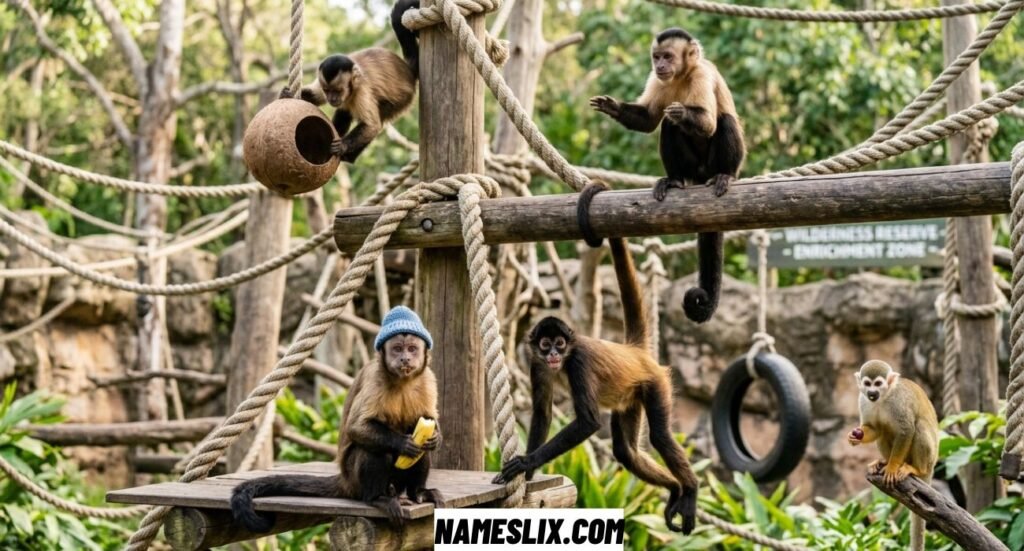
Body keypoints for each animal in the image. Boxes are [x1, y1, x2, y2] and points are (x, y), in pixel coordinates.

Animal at [230, 331, 443, 531]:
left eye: (412, 349)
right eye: (397, 349)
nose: (405, 359)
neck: (402, 381)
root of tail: (345, 480)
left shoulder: (428, 379)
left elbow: (429, 419)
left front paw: (435, 437)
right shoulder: (376, 378)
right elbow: (356, 427)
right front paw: (403, 443)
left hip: (396, 485)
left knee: (421, 451)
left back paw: (418, 493)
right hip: (354, 480)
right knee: (374, 450)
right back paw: (376, 498)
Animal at [288, 0, 420, 163]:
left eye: (338, 91)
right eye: (327, 91)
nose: (332, 98)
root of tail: (407, 70)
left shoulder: (362, 92)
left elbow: (372, 126)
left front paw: (343, 146)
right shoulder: (322, 82)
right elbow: (314, 96)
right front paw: (286, 94)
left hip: (403, 99)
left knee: (379, 115)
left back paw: (348, 157)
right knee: (344, 110)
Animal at [494, 180, 700, 534]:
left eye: (561, 344)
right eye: (545, 344)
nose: (553, 354)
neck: (562, 363)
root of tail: (634, 351)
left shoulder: (578, 363)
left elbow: (588, 421)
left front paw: (527, 462)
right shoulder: (537, 364)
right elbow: (542, 412)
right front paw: (529, 476)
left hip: (655, 383)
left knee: (659, 436)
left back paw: (690, 491)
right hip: (629, 398)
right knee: (626, 451)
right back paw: (674, 489)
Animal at [589, 28, 746, 324]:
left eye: (669, 57)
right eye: (657, 57)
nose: (660, 65)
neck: (682, 75)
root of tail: (701, 176)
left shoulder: (701, 75)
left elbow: (708, 123)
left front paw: (683, 111)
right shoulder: (657, 80)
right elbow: (651, 120)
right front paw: (614, 107)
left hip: (716, 164)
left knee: (724, 121)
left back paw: (725, 176)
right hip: (692, 168)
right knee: (668, 126)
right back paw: (673, 180)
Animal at [847, 359, 938, 551]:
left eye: (878, 384)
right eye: (867, 384)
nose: (871, 392)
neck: (884, 397)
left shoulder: (899, 403)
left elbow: (906, 430)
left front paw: (892, 467)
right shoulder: (862, 400)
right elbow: (874, 428)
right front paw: (854, 437)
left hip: (929, 458)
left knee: (918, 426)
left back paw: (914, 469)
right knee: (883, 430)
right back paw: (883, 461)